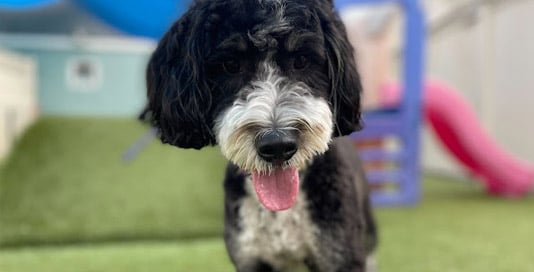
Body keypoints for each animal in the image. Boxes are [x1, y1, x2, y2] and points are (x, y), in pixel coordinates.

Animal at [140, 0, 378, 270]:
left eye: (302, 60)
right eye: (231, 65)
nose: (277, 145)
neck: (280, 212)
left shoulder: (339, 254)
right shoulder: (250, 256)